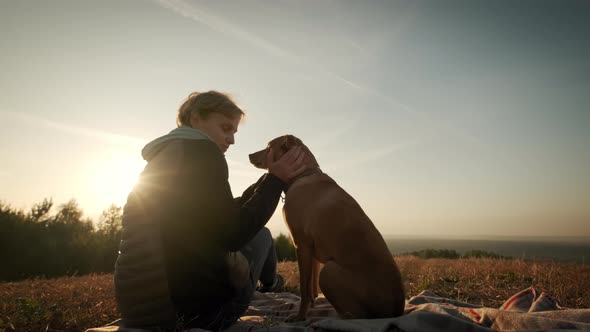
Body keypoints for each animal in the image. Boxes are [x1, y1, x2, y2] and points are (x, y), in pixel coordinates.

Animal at [250, 135, 408, 322]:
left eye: (268, 147)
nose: (249, 155)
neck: (302, 175)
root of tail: (396, 311)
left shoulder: (302, 245)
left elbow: (304, 287)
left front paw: (300, 316)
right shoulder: (312, 251)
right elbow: (311, 288)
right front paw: (311, 307)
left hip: (329, 271)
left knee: (356, 316)